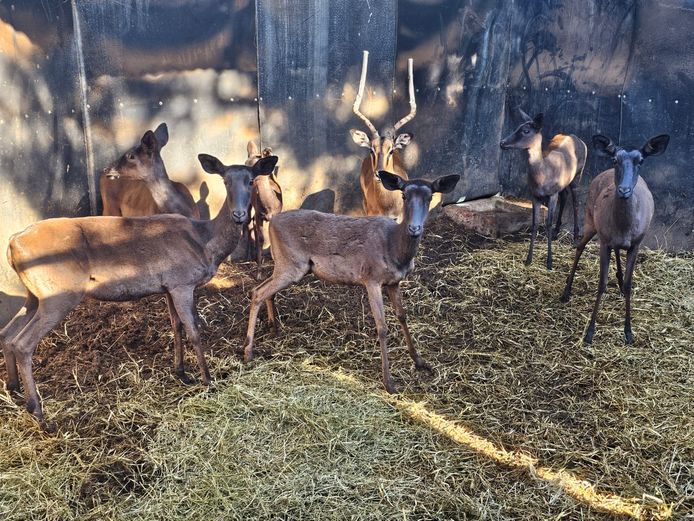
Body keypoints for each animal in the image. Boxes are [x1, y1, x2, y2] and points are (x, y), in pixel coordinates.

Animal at [0, 145, 278, 421]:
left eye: (251, 180)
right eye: (225, 181)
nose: (239, 214)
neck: (205, 243)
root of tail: (12, 244)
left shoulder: (168, 285)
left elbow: (176, 326)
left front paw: (182, 372)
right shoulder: (182, 282)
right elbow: (194, 330)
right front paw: (207, 380)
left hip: (34, 294)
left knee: (8, 334)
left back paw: (13, 388)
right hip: (58, 294)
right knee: (23, 343)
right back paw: (38, 413)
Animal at [241, 170, 460, 394]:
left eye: (430, 197)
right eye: (404, 195)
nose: (414, 228)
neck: (396, 251)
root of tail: (272, 223)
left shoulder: (394, 282)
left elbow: (402, 316)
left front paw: (420, 362)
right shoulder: (371, 278)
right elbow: (382, 327)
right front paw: (389, 382)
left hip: (284, 264)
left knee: (264, 289)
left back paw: (274, 327)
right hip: (291, 265)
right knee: (258, 291)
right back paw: (248, 352)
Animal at [245, 141, 283, 280]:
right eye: (245, 164)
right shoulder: (258, 214)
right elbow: (262, 238)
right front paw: (259, 274)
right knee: (249, 223)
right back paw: (250, 257)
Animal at [500, 110, 587, 269]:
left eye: (526, 130)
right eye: (517, 127)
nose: (502, 143)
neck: (543, 176)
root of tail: (579, 140)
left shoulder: (552, 194)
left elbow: (547, 223)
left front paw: (549, 262)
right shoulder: (534, 195)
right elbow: (535, 223)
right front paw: (528, 259)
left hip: (578, 175)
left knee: (576, 202)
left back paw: (576, 238)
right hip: (563, 184)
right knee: (564, 196)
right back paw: (556, 233)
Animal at [561, 134, 669, 345]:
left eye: (641, 161)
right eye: (615, 160)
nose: (624, 191)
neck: (624, 227)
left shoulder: (636, 244)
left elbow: (628, 284)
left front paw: (628, 332)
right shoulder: (604, 241)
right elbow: (601, 283)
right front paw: (589, 333)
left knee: (618, 251)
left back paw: (618, 281)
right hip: (590, 220)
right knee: (579, 247)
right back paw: (566, 291)